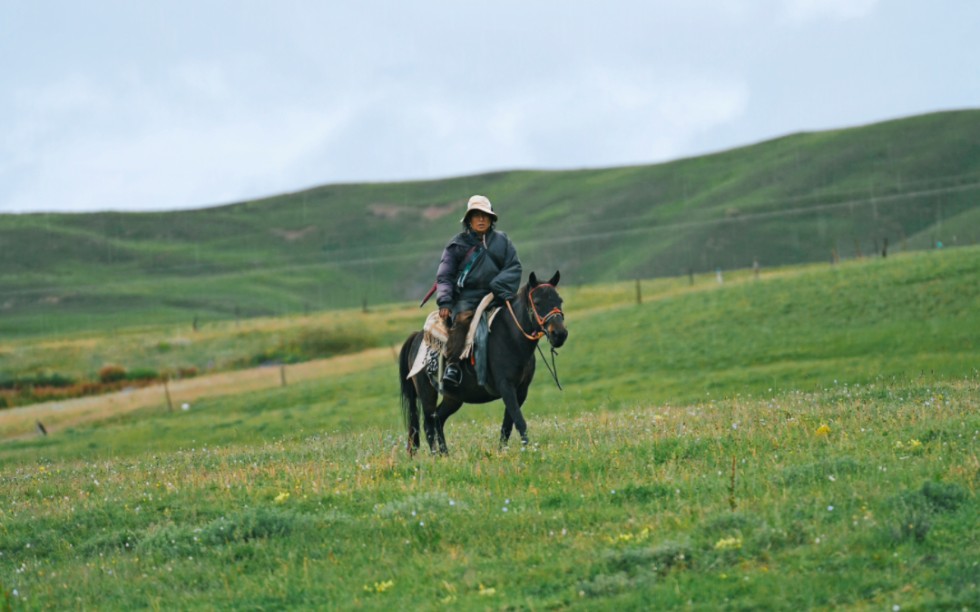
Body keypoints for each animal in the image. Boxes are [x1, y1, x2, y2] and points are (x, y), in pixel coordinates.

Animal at [396, 272, 568, 454]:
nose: (559, 334)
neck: (511, 337)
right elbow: (519, 420)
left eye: (560, 300)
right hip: (426, 393)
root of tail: (417, 336)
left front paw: (502, 451)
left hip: (453, 398)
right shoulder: (506, 386)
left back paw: (445, 455)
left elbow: (508, 424)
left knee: (438, 419)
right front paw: (528, 451)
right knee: (428, 425)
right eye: (537, 302)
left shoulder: (521, 391)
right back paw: (436, 456)